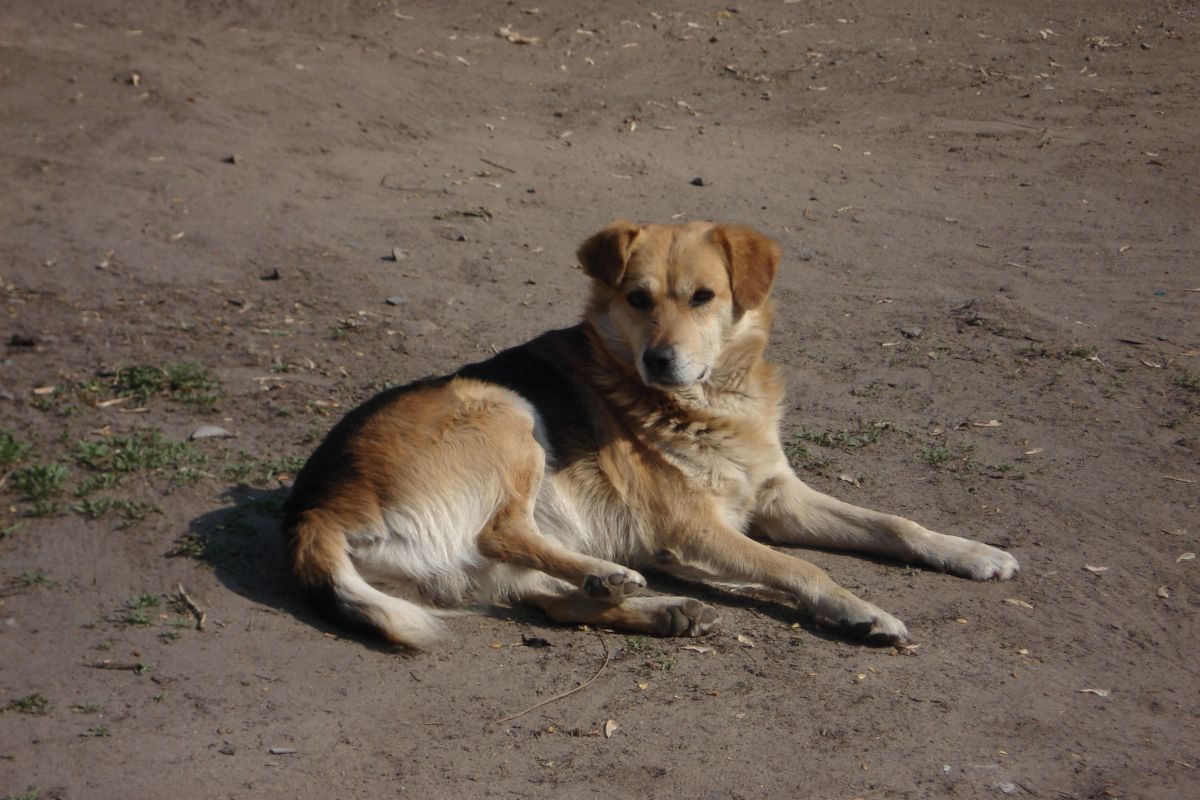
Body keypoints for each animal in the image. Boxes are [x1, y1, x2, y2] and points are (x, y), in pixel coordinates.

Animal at [283, 220, 1022, 652]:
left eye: (703, 297)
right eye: (637, 299)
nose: (659, 362)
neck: (711, 402)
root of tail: (313, 510)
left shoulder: (777, 499)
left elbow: (895, 524)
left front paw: (972, 552)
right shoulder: (694, 529)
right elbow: (800, 568)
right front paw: (862, 610)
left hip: (478, 557)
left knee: (551, 603)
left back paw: (658, 608)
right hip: (505, 410)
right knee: (503, 531)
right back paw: (613, 576)